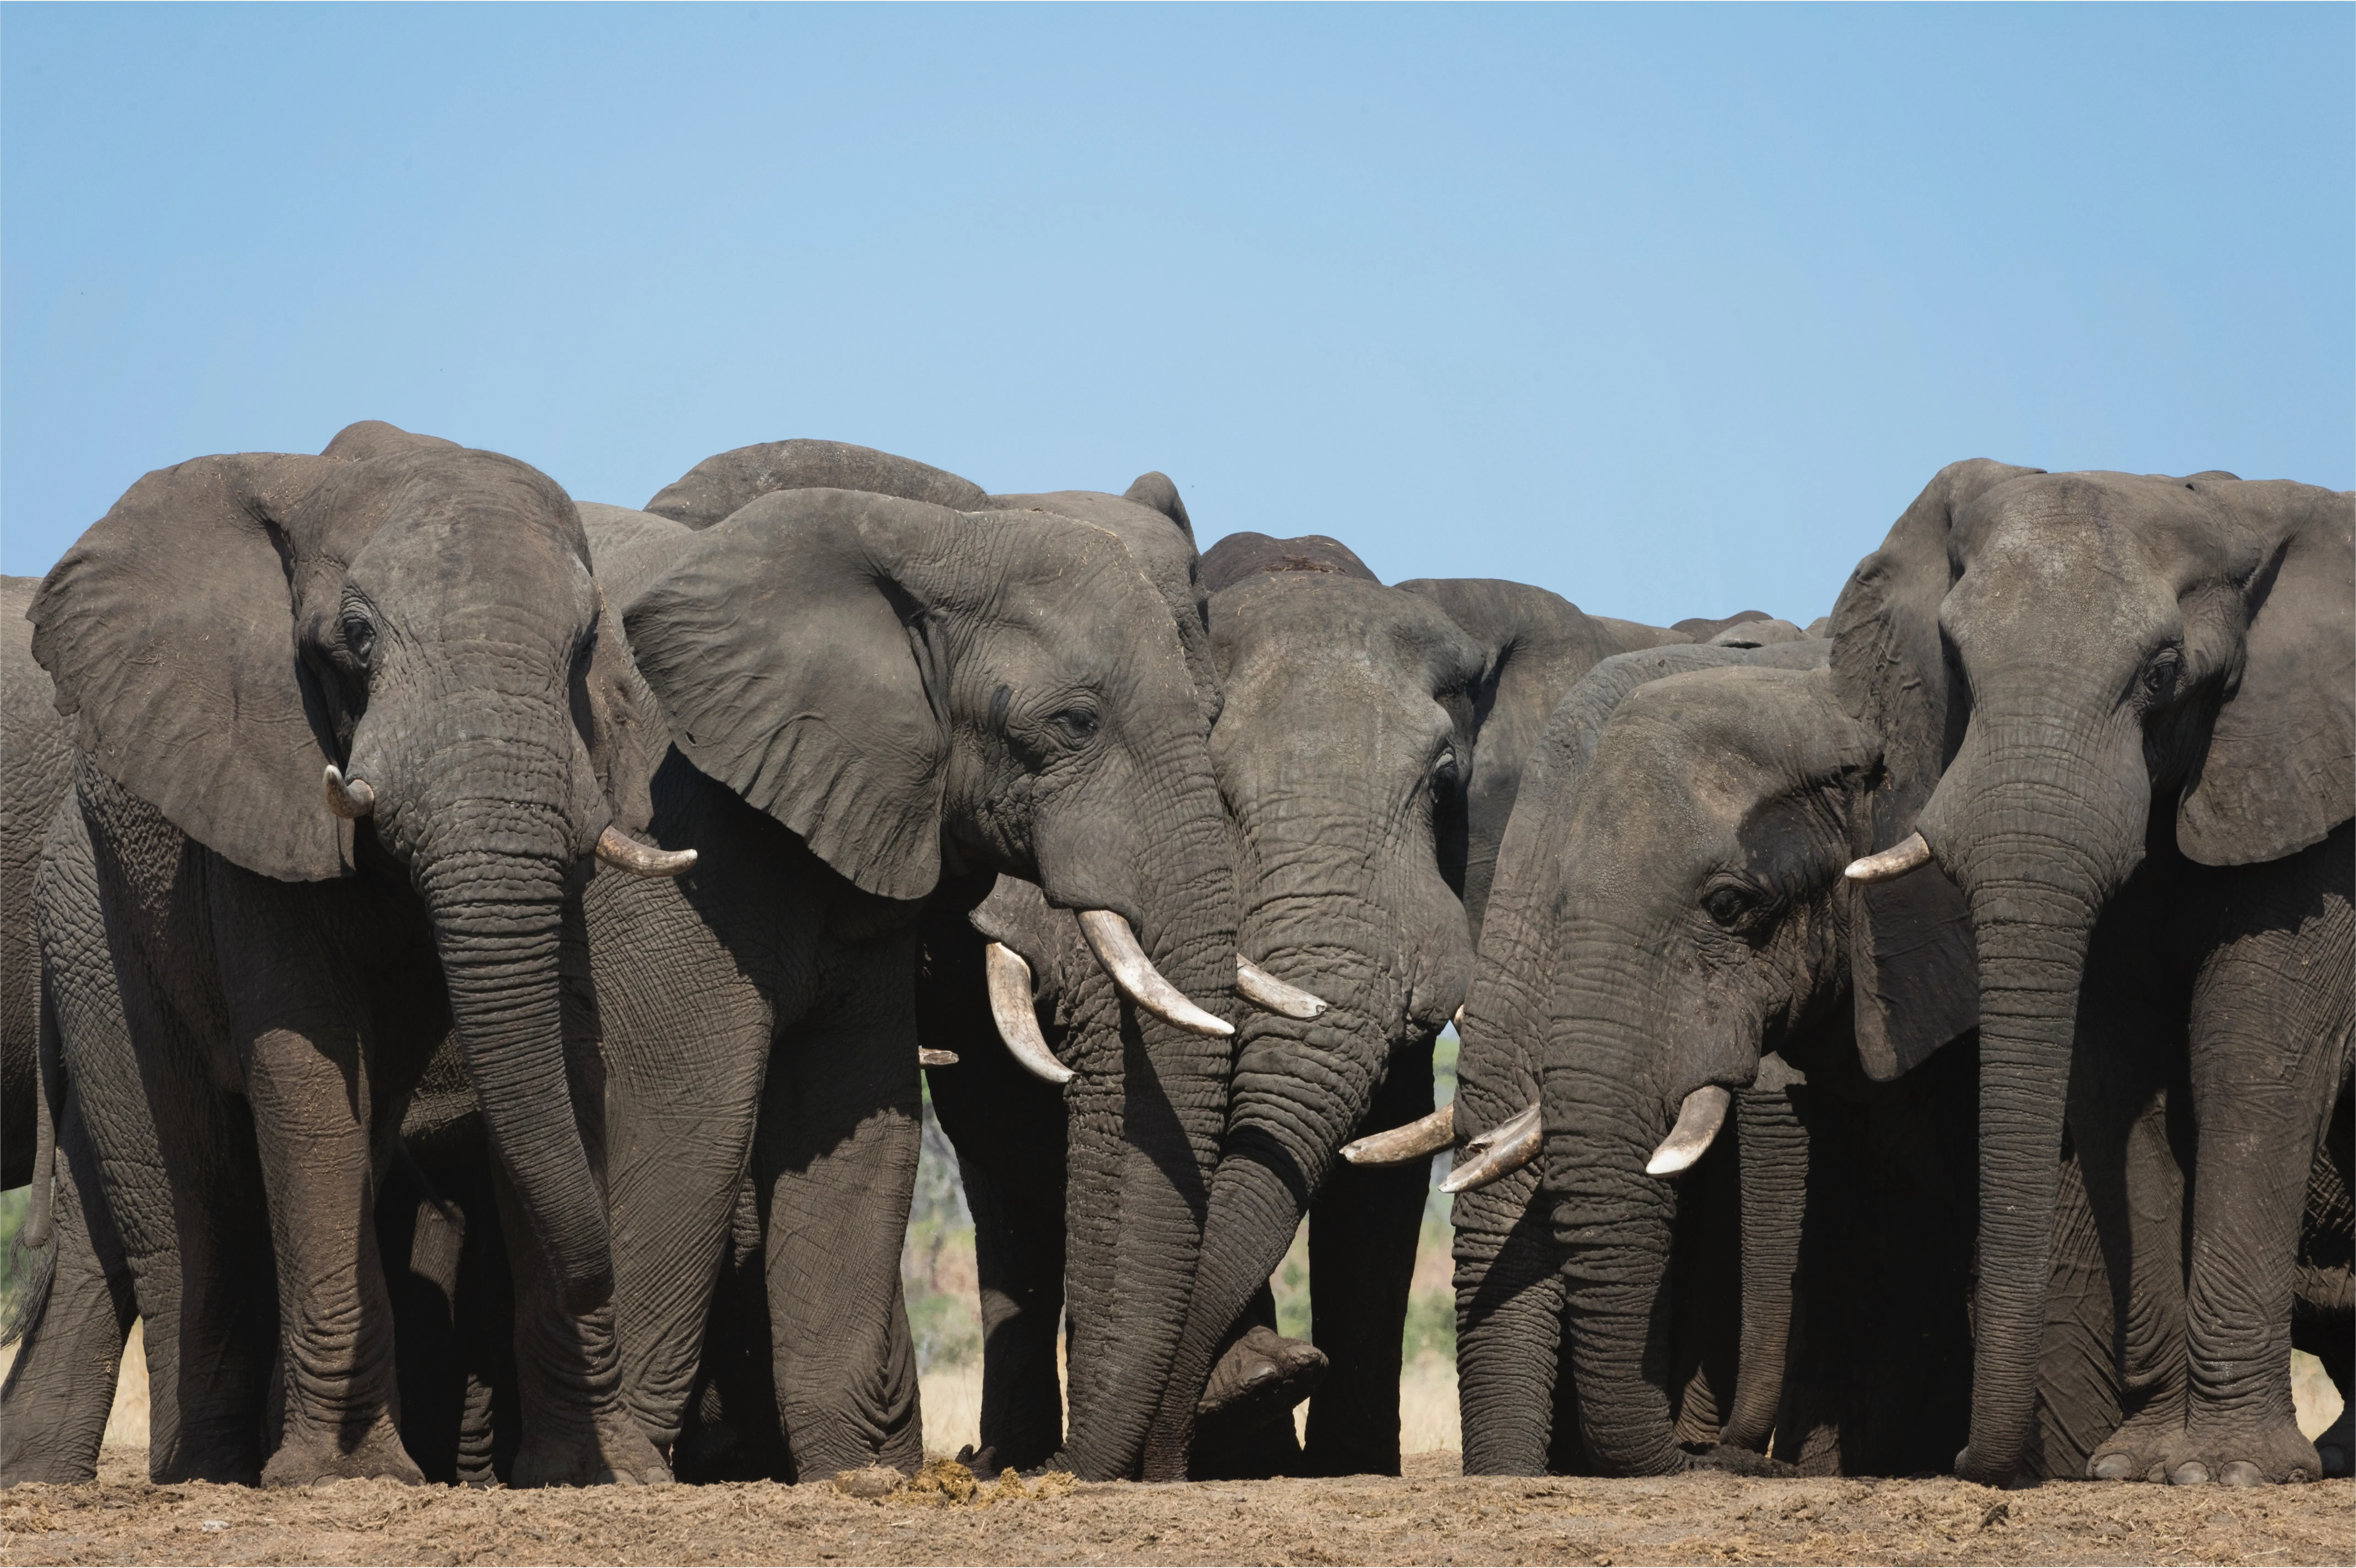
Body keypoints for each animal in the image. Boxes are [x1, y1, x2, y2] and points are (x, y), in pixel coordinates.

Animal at [22, 421, 682, 1487]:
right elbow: (305, 1064)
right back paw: (211, 1470)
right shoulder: (256, 784)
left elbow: (569, 1057)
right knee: (191, 1198)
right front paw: (344, 1475)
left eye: (587, 644)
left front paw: (605, 1472)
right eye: (357, 639)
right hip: (93, 931)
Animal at [1830, 463, 2353, 1485]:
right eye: (1955, 662)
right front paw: (2139, 1465)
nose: (1975, 1460)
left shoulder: (2314, 802)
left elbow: (2254, 1057)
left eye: (2161, 675)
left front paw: (2228, 1473)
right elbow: (2114, 1068)